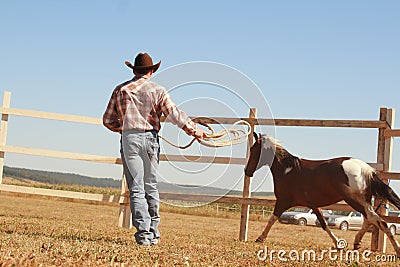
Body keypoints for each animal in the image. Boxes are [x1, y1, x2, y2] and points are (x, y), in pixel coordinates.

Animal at [244, 133, 400, 256]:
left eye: (253, 149)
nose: (247, 171)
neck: (288, 170)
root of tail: (366, 169)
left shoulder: (283, 201)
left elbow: (272, 219)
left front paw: (260, 238)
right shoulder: (314, 205)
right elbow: (324, 224)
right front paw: (338, 244)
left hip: (354, 200)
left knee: (378, 221)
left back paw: (396, 250)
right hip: (362, 201)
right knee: (370, 219)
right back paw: (357, 243)